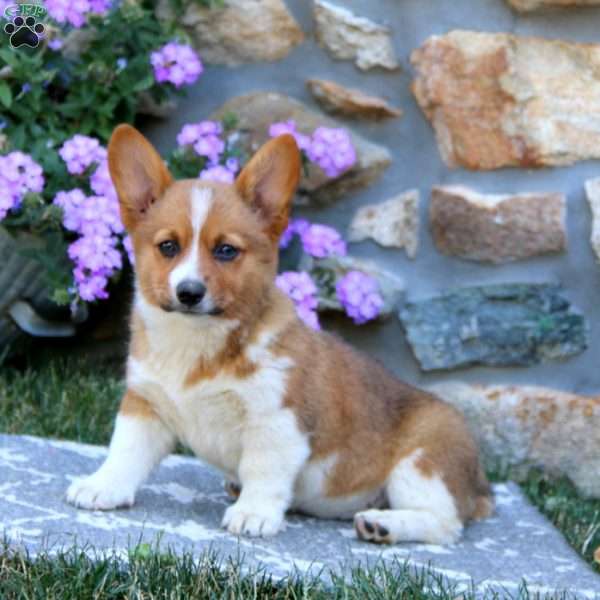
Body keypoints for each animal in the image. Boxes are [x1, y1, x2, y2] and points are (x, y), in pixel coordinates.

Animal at [65, 125, 492, 544]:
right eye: (168, 247)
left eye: (225, 251)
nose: (189, 293)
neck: (198, 343)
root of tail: (480, 486)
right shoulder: (146, 405)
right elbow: (125, 452)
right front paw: (102, 486)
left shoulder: (276, 422)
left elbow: (263, 472)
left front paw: (253, 514)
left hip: (422, 466)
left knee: (445, 525)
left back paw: (382, 525)